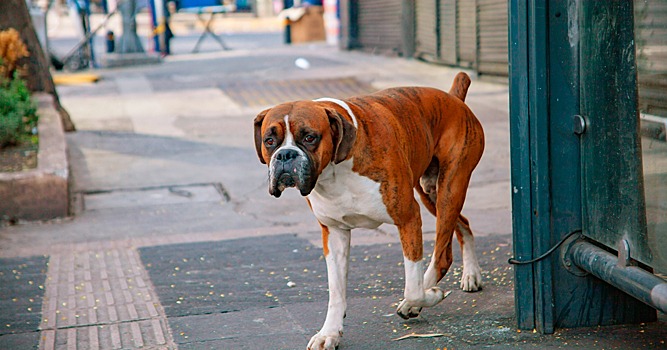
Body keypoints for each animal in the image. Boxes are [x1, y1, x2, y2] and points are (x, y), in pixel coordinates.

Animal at [256, 72, 486, 348]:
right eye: (270, 141)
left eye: (310, 137)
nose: (285, 155)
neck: (336, 169)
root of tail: (454, 99)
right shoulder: (334, 233)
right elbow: (336, 291)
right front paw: (329, 333)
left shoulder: (408, 218)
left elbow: (413, 286)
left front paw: (423, 297)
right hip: (431, 192)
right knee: (463, 224)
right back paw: (471, 274)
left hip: (450, 187)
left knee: (442, 256)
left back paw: (422, 296)